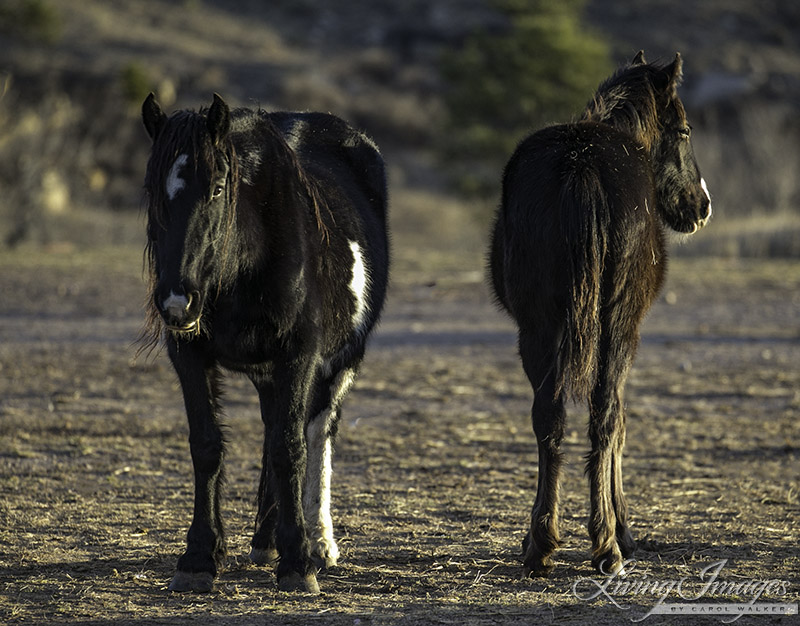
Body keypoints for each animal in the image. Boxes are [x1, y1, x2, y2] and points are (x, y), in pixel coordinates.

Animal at [141, 94, 390, 596]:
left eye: (218, 188)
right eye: (153, 190)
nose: (177, 300)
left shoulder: (299, 355)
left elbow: (290, 447)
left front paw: (298, 562)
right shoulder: (188, 354)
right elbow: (207, 445)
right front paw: (199, 557)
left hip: (340, 363)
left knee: (317, 433)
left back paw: (320, 543)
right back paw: (266, 540)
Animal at [488, 52, 712, 576]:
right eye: (684, 129)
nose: (701, 206)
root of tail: (581, 166)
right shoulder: (629, 333)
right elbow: (620, 424)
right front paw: (624, 531)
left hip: (538, 332)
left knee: (549, 419)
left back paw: (540, 546)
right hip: (616, 329)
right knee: (606, 417)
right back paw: (607, 545)